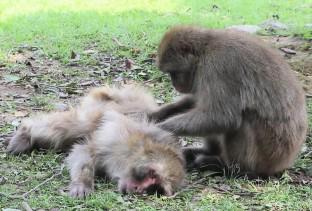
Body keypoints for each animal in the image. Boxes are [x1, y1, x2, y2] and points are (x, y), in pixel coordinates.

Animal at [7, 85, 185, 198]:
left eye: (153, 188)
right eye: (151, 175)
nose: (138, 189)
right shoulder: (117, 145)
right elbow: (87, 150)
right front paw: (82, 183)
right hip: (105, 107)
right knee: (79, 125)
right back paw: (25, 134)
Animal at [150, 25, 308, 178]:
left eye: (173, 73)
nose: (174, 84)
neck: (205, 51)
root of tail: (285, 162)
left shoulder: (219, 66)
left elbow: (222, 117)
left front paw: (160, 130)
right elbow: (199, 101)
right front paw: (160, 113)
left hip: (268, 153)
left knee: (243, 119)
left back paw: (228, 168)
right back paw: (207, 152)